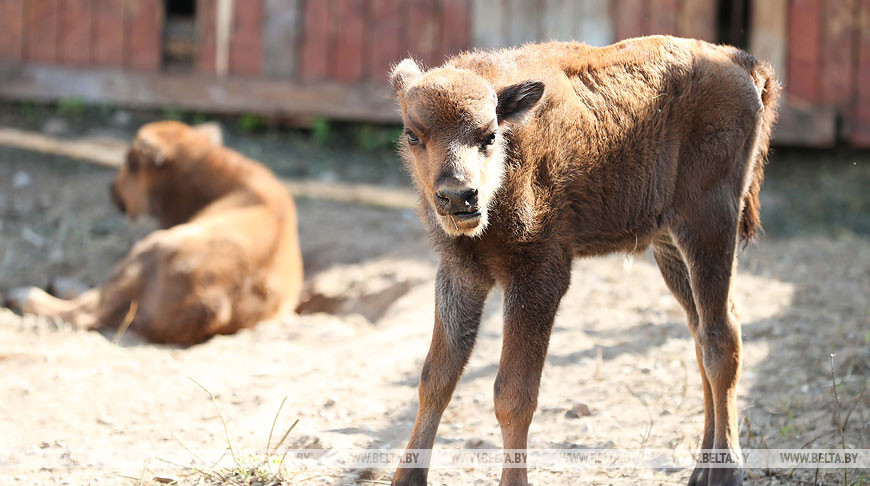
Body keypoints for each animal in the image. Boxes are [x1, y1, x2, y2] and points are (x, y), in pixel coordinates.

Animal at [6, 121, 304, 346]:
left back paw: (23, 294)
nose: (111, 189)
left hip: (151, 246)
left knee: (88, 309)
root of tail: (213, 304)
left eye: (129, 163)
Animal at [392, 35, 780, 486]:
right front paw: (406, 479)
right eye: (412, 134)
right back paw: (701, 468)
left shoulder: (538, 278)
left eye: (489, 135)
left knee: (722, 339)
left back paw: (725, 470)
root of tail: (739, 61)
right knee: (702, 332)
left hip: (709, 224)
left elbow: (513, 394)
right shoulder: (461, 275)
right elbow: (436, 378)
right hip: (670, 246)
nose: (459, 197)